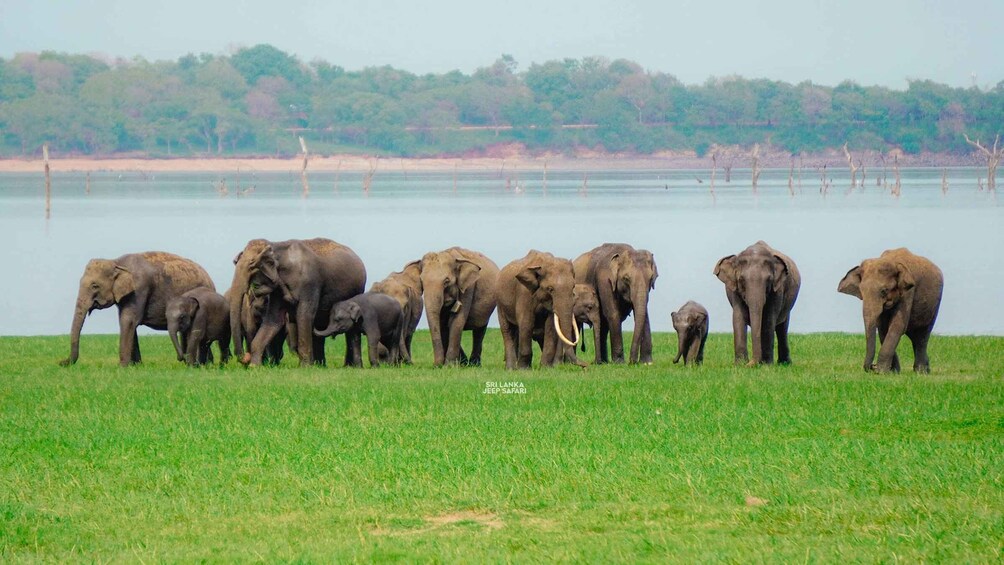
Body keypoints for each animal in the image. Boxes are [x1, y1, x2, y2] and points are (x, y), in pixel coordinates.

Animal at [60, 251, 215, 367]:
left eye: (94, 286)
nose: (61, 362)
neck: (116, 262)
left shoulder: (139, 289)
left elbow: (128, 321)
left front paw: (122, 367)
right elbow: (129, 323)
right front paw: (136, 366)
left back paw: (204, 364)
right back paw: (206, 364)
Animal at [229, 238, 366, 367]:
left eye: (251, 266)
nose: (245, 357)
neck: (276, 246)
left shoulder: (309, 283)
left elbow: (304, 316)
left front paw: (305, 367)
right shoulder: (278, 291)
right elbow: (274, 319)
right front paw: (255, 366)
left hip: (357, 290)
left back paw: (349, 366)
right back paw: (321, 365)